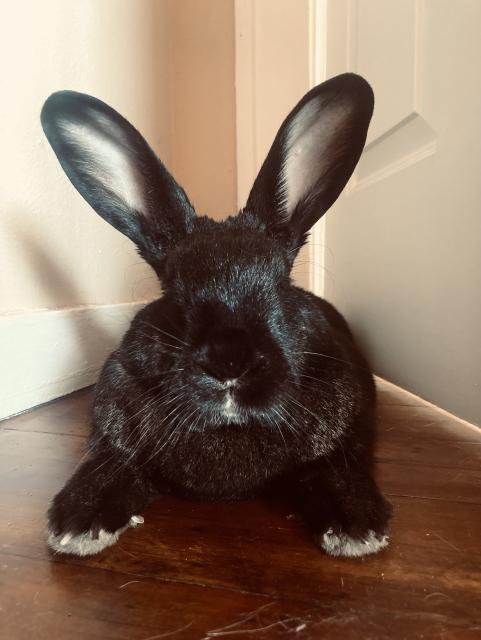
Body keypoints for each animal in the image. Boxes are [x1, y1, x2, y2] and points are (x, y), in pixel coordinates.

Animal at [41, 73, 392, 558]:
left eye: (281, 285)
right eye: (174, 293)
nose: (229, 361)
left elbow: (333, 468)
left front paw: (356, 527)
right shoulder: (115, 440)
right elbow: (110, 466)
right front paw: (77, 523)